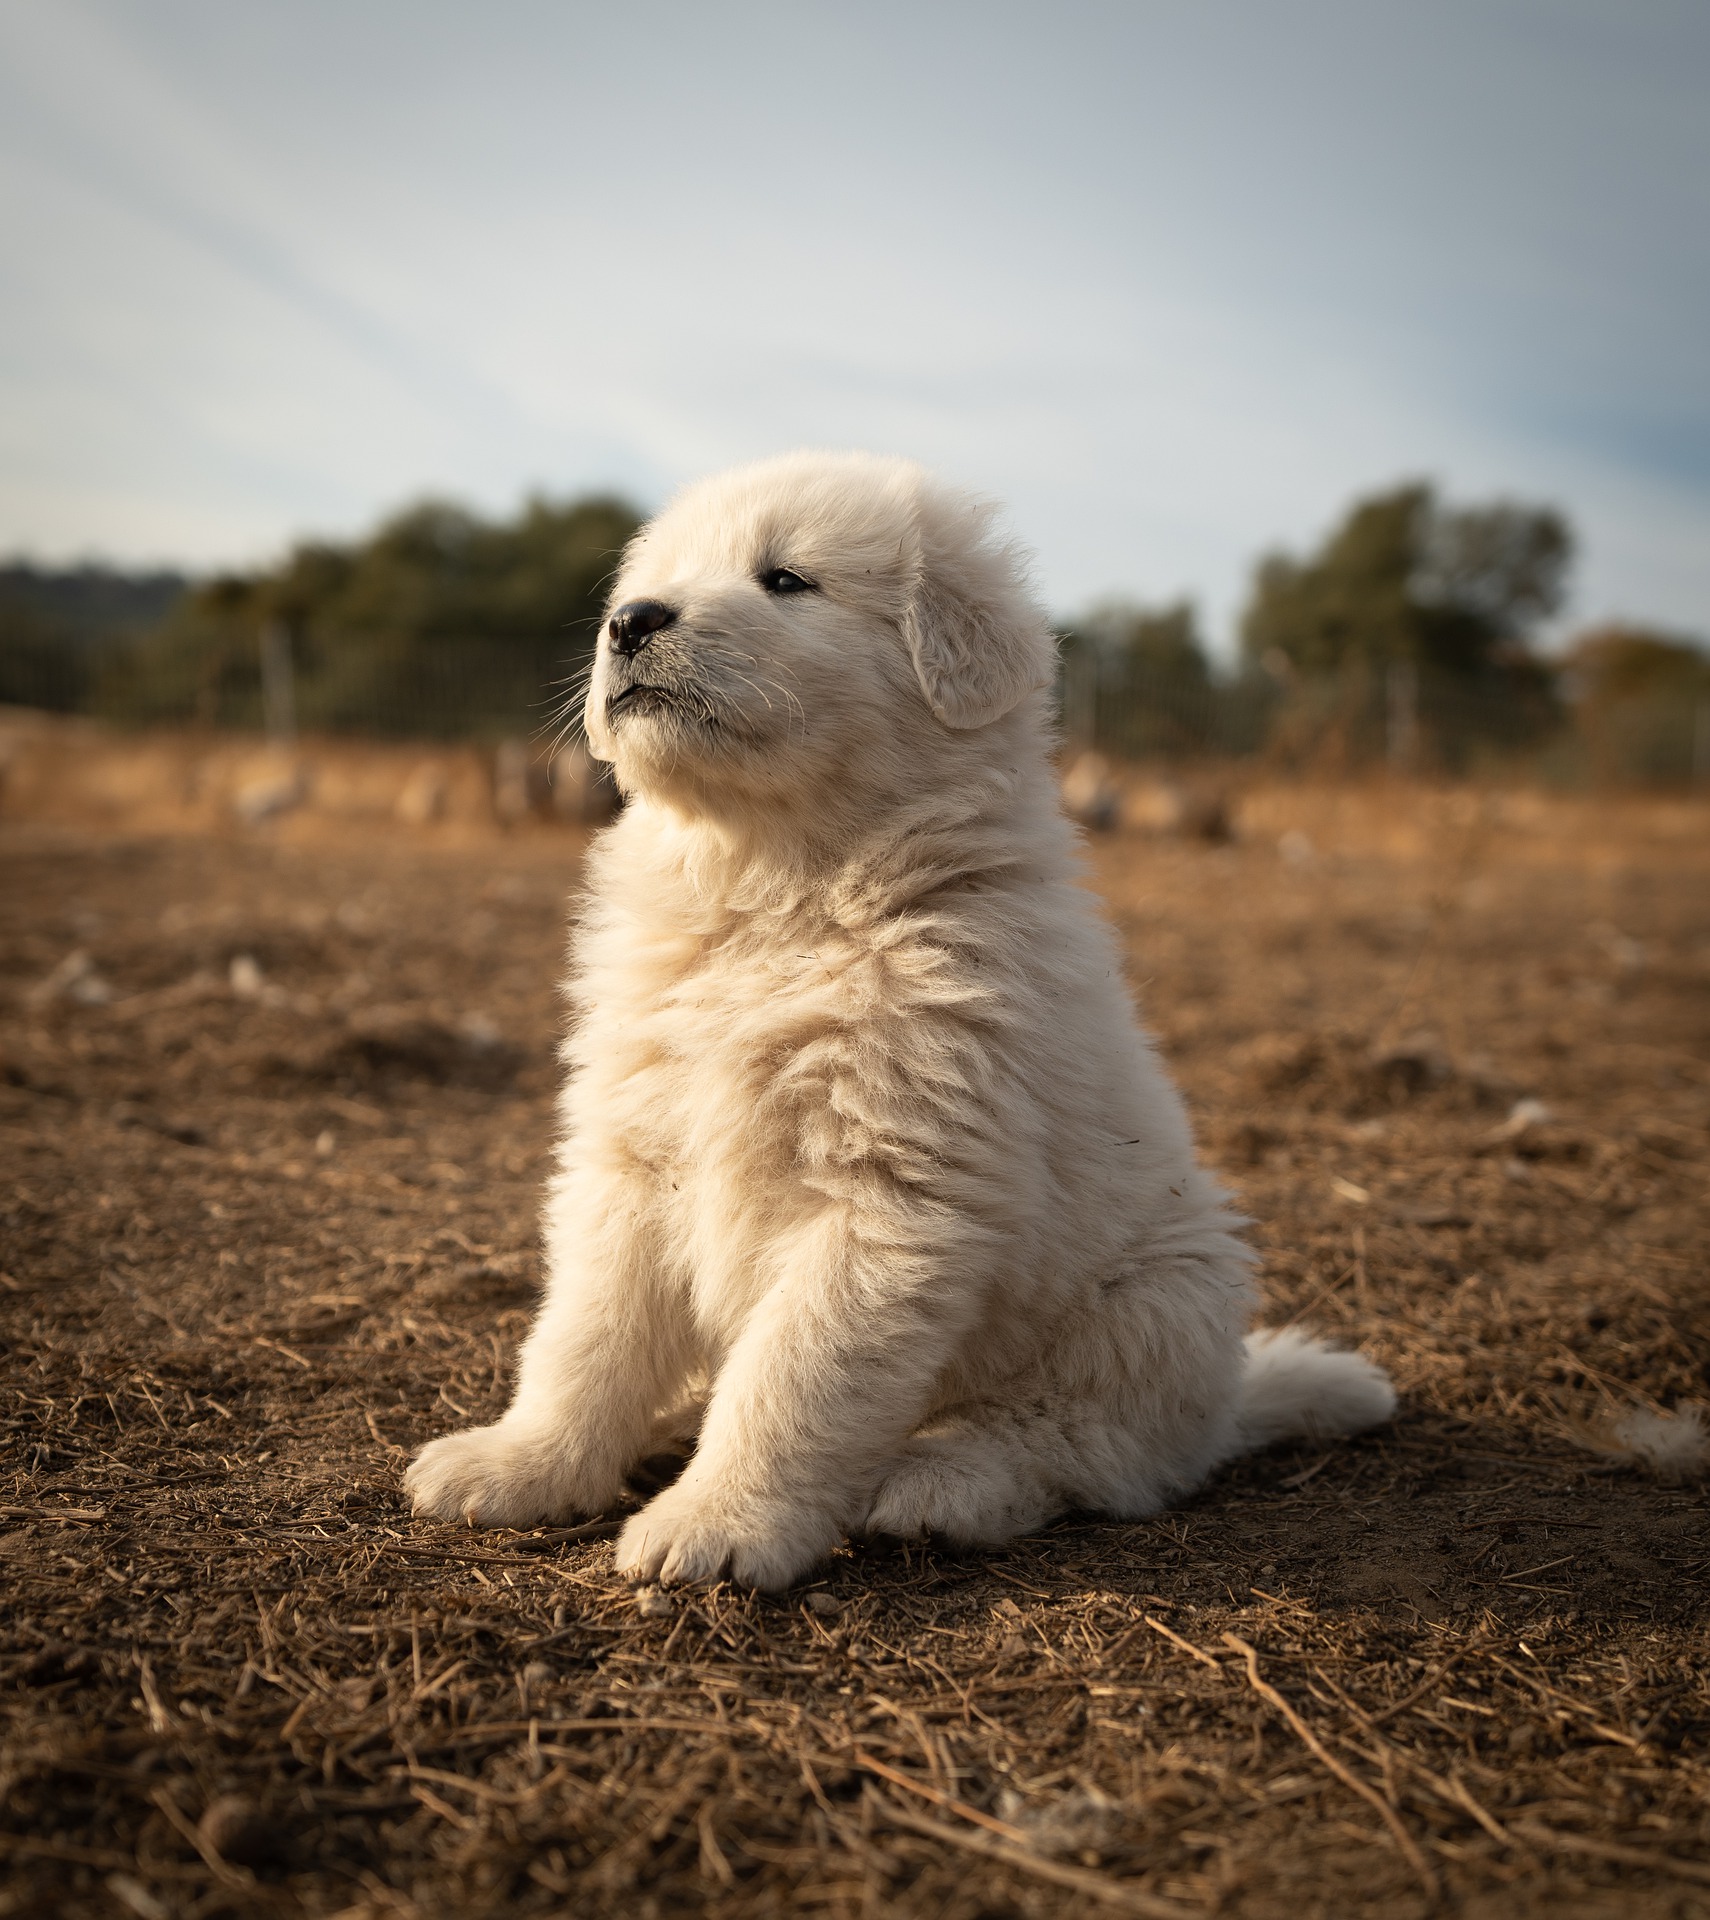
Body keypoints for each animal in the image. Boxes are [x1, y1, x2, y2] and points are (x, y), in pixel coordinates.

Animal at [401, 453, 1389, 1589]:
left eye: (786, 580)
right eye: (651, 583)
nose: (631, 621)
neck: (779, 892)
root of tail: (1227, 1404)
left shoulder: (890, 1194)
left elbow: (793, 1377)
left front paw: (719, 1524)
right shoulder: (630, 1160)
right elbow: (582, 1336)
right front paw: (523, 1464)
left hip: (1157, 1302)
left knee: (1086, 1448)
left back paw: (941, 1481)